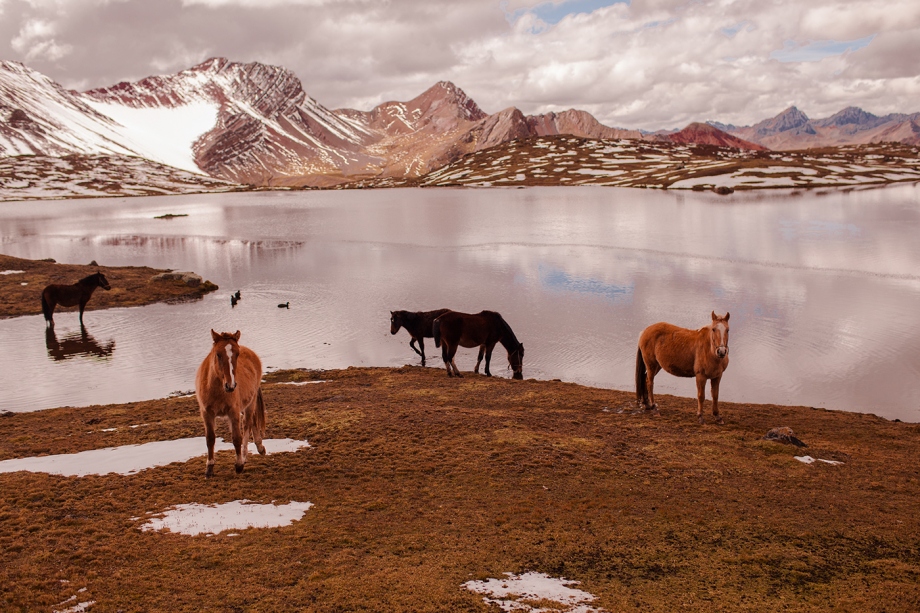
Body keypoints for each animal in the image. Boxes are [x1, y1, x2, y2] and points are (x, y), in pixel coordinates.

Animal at [193, 330, 266, 478]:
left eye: (237, 354)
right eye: (218, 354)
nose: (230, 386)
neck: (217, 389)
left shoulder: (233, 411)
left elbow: (237, 438)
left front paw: (238, 465)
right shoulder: (206, 413)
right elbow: (210, 438)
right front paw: (209, 468)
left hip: (250, 403)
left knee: (248, 424)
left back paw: (245, 456)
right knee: (252, 422)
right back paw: (259, 447)